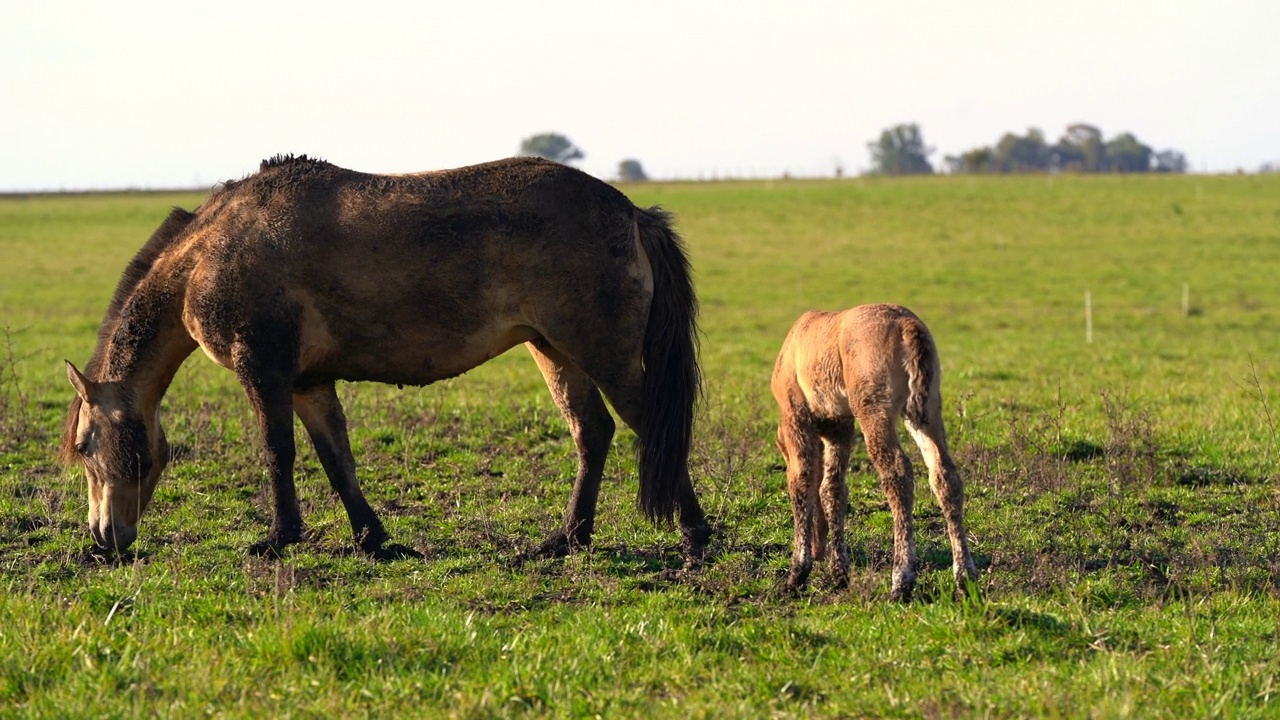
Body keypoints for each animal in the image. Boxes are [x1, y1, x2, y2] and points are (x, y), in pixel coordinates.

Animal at [60, 155, 716, 561]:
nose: (102, 539)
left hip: (603, 355)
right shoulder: (308, 383)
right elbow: (337, 461)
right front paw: (371, 538)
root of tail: (632, 212)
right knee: (592, 433)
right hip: (555, 350)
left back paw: (695, 537)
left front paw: (279, 538)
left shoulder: (264, 372)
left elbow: (278, 454)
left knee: (652, 429)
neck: (207, 254)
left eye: (87, 446)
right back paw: (568, 540)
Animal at [768, 302, 977, 599]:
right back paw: (965, 577)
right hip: (927, 409)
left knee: (898, 474)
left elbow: (802, 484)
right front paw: (839, 573)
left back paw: (901, 580)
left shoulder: (796, 416)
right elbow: (832, 490)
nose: (818, 549)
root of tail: (906, 324)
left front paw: (796, 573)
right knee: (945, 475)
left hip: (874, 410)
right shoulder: (840, 426)